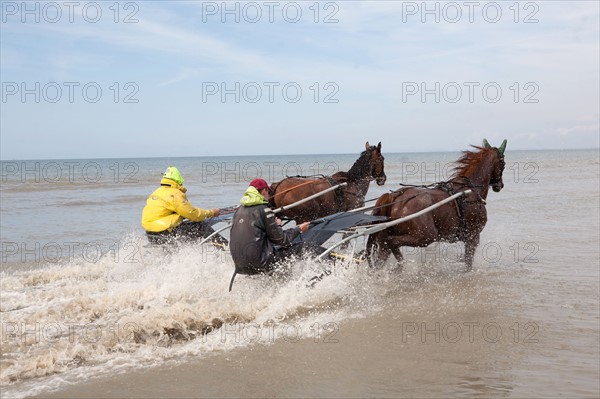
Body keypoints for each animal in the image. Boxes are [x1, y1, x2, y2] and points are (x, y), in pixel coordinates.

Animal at [366, 140, 506, 272]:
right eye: (503, 164)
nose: (500, 185)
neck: (470, 190)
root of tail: (395, 196)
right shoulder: (473, 237)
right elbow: (468, 263)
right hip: (425, 236)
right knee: (392, 241)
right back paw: (399, 266)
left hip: (384, 242)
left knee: (381, 257)